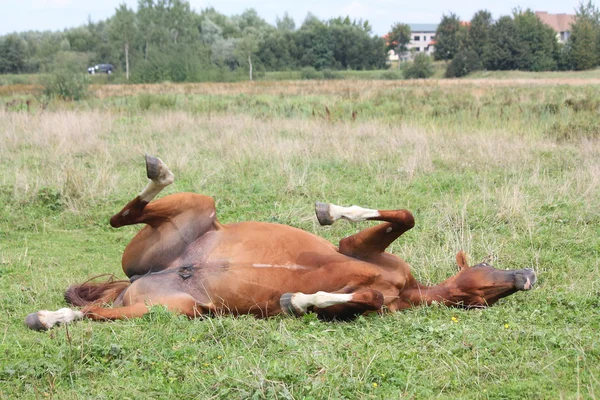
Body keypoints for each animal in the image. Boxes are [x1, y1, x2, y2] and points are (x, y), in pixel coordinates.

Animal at [25, 155, 536, 330]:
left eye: (479, 300)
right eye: (486, 270)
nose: (527, 276)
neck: (407, 291)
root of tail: (144, 276)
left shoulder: (366, 301)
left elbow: (361, 298)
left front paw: (298, 299)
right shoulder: (358, 249)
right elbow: (403, 216)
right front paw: (328, 211)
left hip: (168, 309)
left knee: (97, 312)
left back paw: (50, 317)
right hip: (196, 209)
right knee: (124, 215)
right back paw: (159, 170)